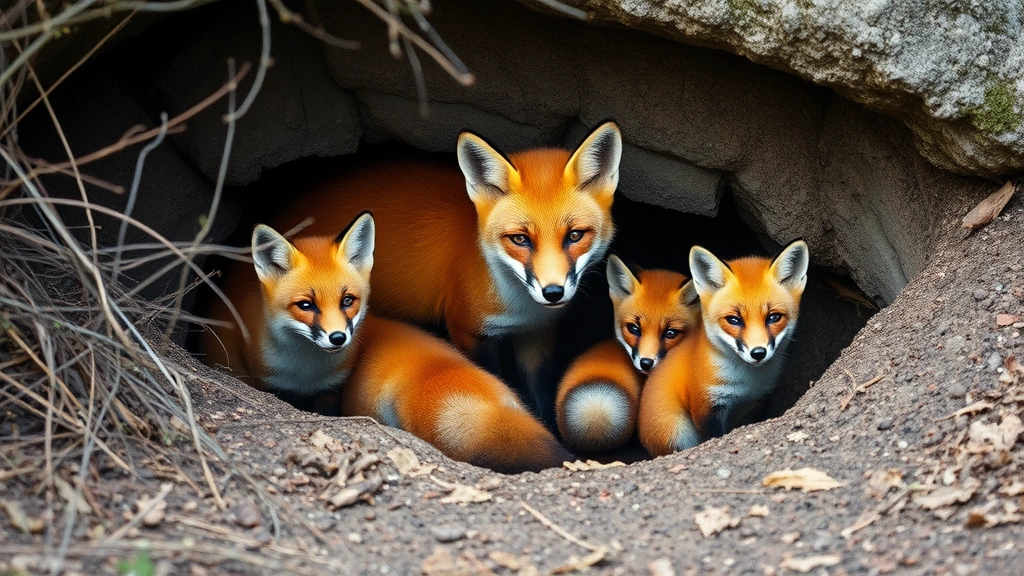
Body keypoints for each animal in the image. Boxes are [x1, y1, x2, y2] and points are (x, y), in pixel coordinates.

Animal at [202, 217, 571, 473]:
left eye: (347, 300)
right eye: (305, 305)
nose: (338, 338)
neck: (305, 371)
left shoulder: (330, 393)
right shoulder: (271, 383)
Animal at [274, 122, 622, 411]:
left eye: (574, 235)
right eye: (520, 239)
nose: (553, 292)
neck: (522, 308)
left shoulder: (537, 335)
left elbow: (541, 399)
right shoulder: (467, 330)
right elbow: (494, 381)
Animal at [637, 240, 810, 457]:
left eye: (774, 317)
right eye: (734, 320)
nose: (758, 353)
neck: (745, 383)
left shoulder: (757, 401)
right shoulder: (706, 406)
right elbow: (713, 436)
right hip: (675, 431)